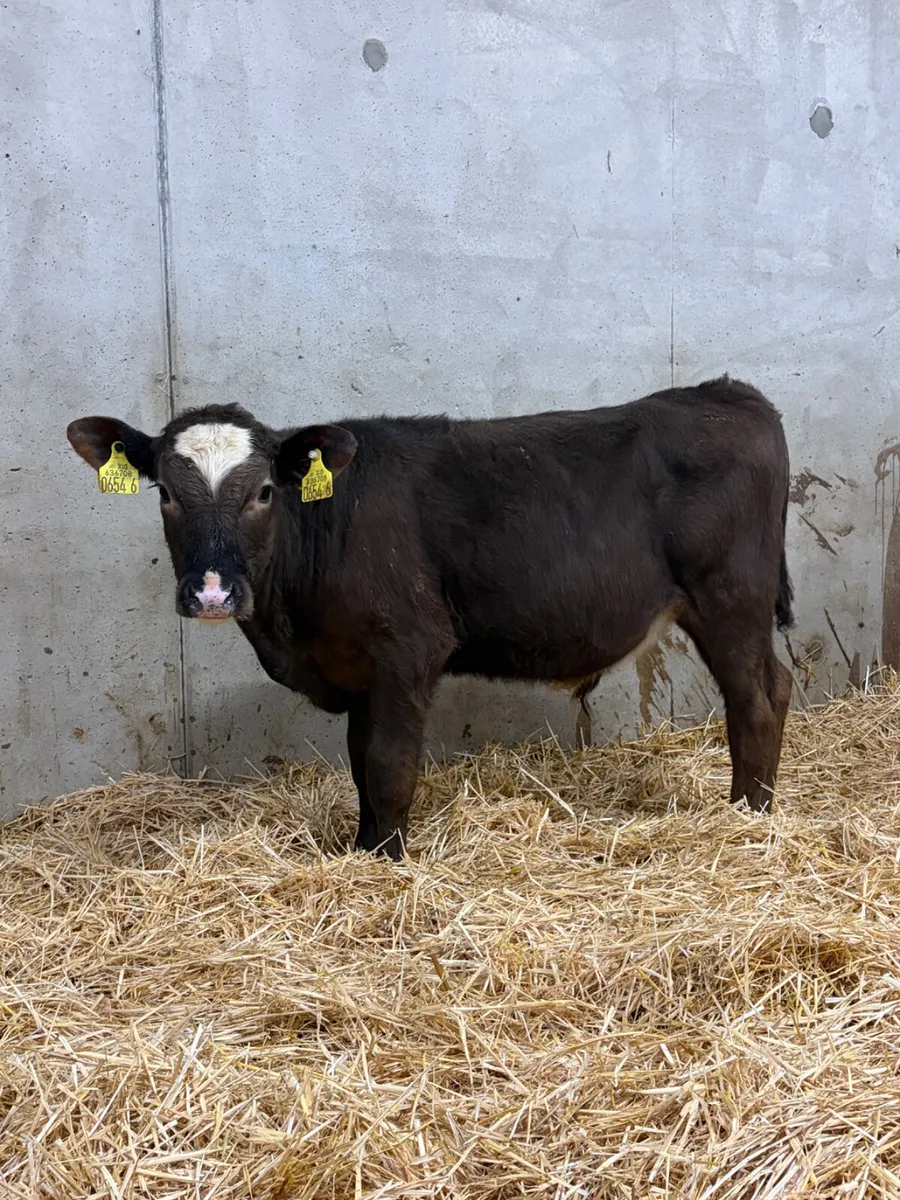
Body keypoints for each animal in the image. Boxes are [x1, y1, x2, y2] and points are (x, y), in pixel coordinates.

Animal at [67, 376, 794, 859]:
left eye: (265, 491)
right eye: (165, 492)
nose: (214, 592)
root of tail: (726, 391)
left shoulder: (407, 651)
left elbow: (390, 766)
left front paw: (389, 859)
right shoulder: (360, 668)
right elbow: (360, 763)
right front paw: (363, 849)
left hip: (731, 597)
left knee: (756, 698)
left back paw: (748, 818)